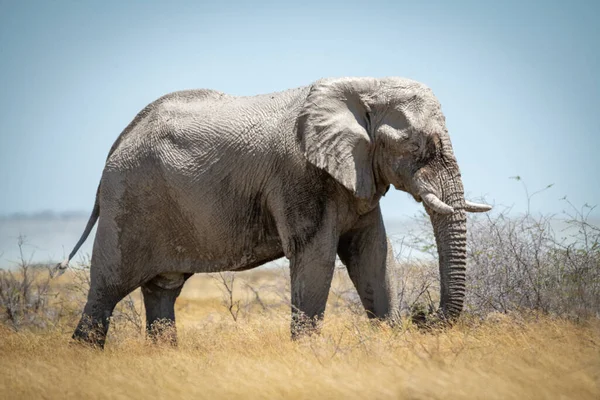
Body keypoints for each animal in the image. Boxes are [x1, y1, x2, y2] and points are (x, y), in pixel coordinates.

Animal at [58, 76, 492, 346]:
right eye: (421, 148)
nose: (422, 316)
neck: (363, 86)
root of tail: (118, 142)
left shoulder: (359, 174)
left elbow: (372, 255)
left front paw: (388, 337)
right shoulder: (299, 175)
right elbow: (316, 258)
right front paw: (309, 354)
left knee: (163, 288)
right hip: (129, 200)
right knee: (107, 288)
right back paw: (84, 354)